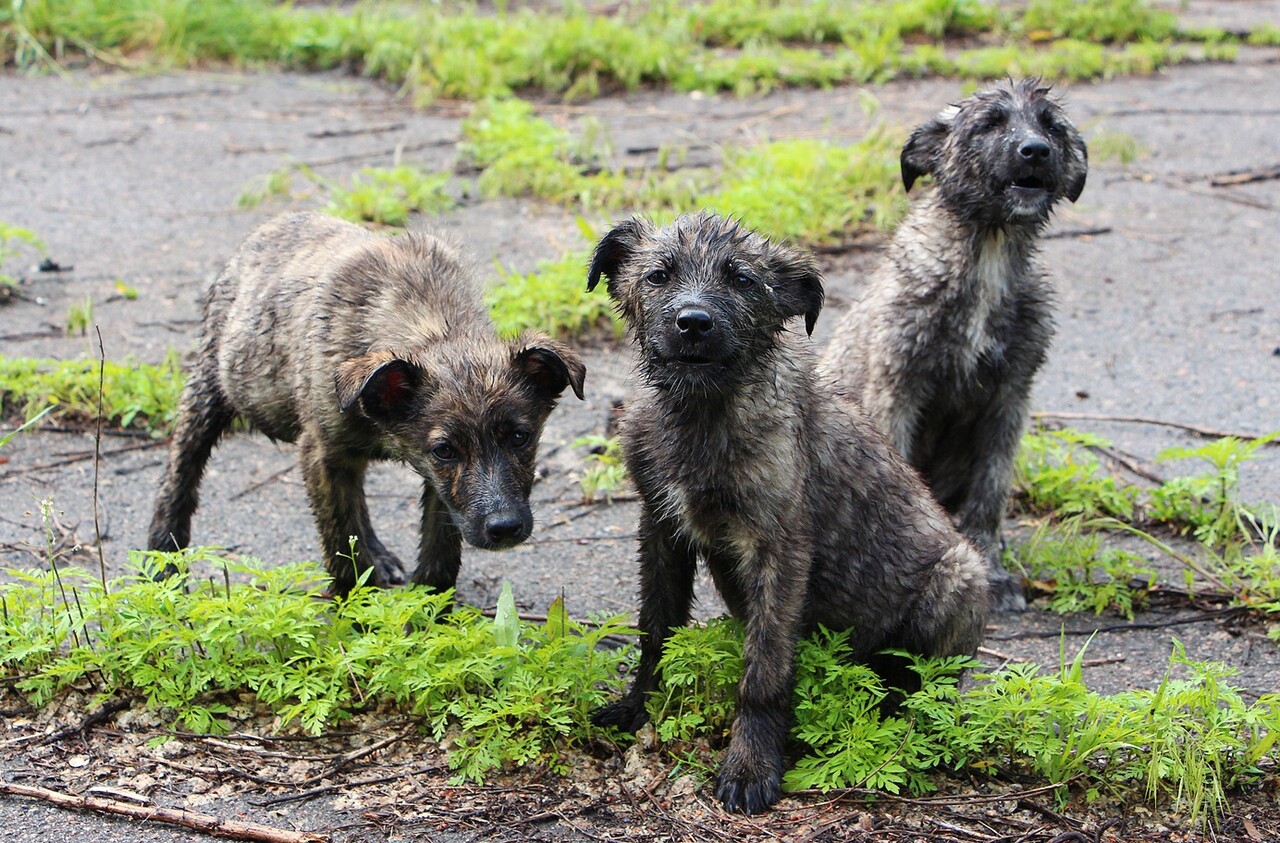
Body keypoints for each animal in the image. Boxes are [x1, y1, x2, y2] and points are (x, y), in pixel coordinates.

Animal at [149, 211, 586, 593]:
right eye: (445, 450)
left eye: (520, 437)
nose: (504, 527)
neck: (432, 326)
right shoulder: (322, 453)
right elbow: (342, 546)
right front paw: (353, 616)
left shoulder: (437, 488)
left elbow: (438, 555)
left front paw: (429, 617)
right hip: (209, 387)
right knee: (179, 476)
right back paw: (162, 562)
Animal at [586, 211, 983, 818]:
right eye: (658, 275)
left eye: (742, 279)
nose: (693, 323)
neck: (704, 414)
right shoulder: (660, 528)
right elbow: (656, 629)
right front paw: (638, 706)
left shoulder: (779, 548)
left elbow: (764, 670)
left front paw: (750, 766)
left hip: (960, 574)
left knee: (923, 683)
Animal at [819, 79, 1090, 614]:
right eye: (990, 123)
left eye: (1051, 125)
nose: (1036, 150)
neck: (988, 251)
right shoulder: (896, 388)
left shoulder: (1010, 399)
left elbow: (990, 494)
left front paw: (993, 571)